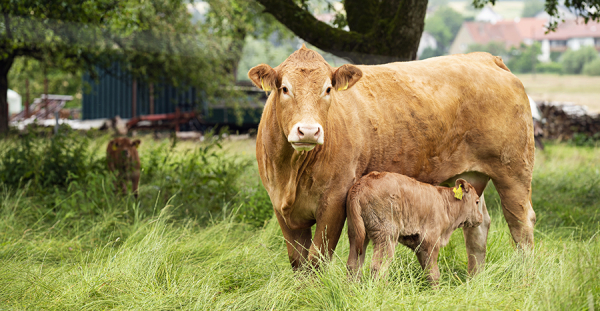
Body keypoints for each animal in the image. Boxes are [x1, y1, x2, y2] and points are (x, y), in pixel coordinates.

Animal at [248, 45, 536, 274]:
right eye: (284, 88)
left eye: (328, 89)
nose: (308, 131)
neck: (291, 174)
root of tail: (485, 58)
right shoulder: (280, 206)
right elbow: (298, 262)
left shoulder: (333, 201)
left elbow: (317, 259)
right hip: (470, 177)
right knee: (477, 225)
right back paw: (475, 280)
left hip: (513, 172)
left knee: (521, 226)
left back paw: (525, 279)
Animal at [346, 172, 482, 286]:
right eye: (477, 201)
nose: (480, 218)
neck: (445, 203)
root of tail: (362, 184)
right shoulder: (431, 240)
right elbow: (433, 273)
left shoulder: (419, 245)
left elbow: (426, 270)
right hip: (386, 236)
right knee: (378, 266)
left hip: (356, 234)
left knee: (353, 265)